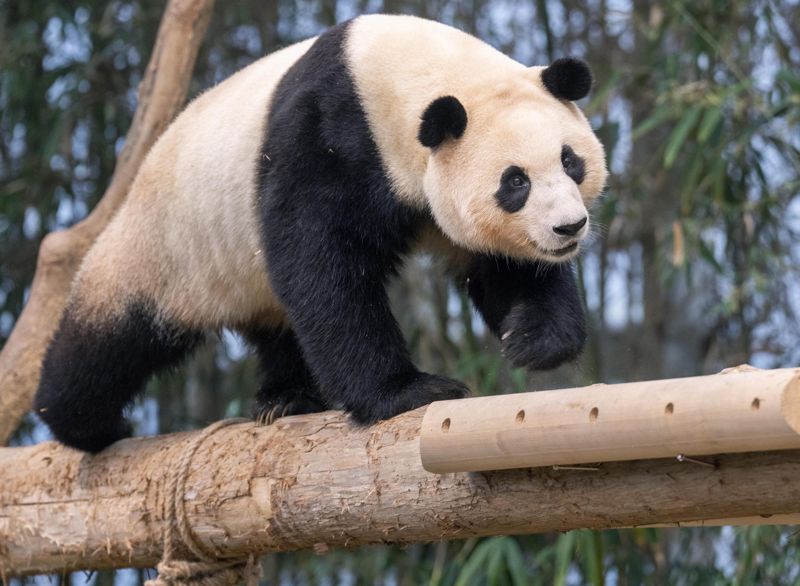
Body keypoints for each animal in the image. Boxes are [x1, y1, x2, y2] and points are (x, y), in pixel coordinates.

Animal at [31, 14, 608, 452]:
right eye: (515, 182)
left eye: (570, 161)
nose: (569, 226)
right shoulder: (325, 135)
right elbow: (320, 263)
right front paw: (409, 391)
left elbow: (504, 266)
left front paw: (531, 339)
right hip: (164, 246)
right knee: (108, 340)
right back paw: (86, 423)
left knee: (280, 328)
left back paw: (285, 398)